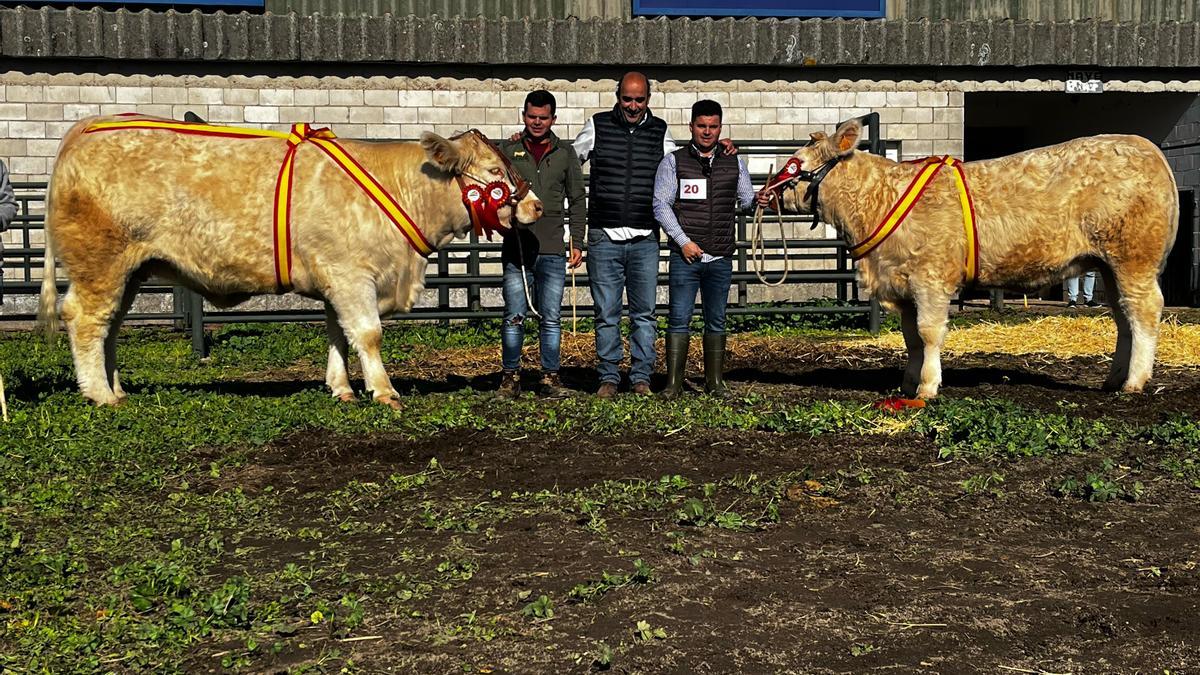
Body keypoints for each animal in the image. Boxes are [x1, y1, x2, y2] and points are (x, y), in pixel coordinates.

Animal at [37, 114, 544, 403]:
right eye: (495, 171)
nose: (537, 206)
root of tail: (81, 131)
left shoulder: (335, 279)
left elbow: (338, 333)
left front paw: (341, 388)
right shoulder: (351, 274)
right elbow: (368, 334)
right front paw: (384, 391)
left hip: (132, 270)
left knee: (112, 325)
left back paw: (117, 387)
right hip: (101, 262)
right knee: (85, 319)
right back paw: (100, 395)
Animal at [772, 118, 1176, 396]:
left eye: (794, 163)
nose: (764, 192)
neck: (879, 198)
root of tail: (1148, 148)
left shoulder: (930, 278)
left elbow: (929, 333)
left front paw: (927, 387)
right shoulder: (902, 282)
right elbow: (911, 338)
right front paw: (908, 383)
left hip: (1133, 258)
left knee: (1144, 312)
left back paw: (1134, 381)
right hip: (1109, 265)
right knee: (1123, 317)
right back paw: (1113, 378)